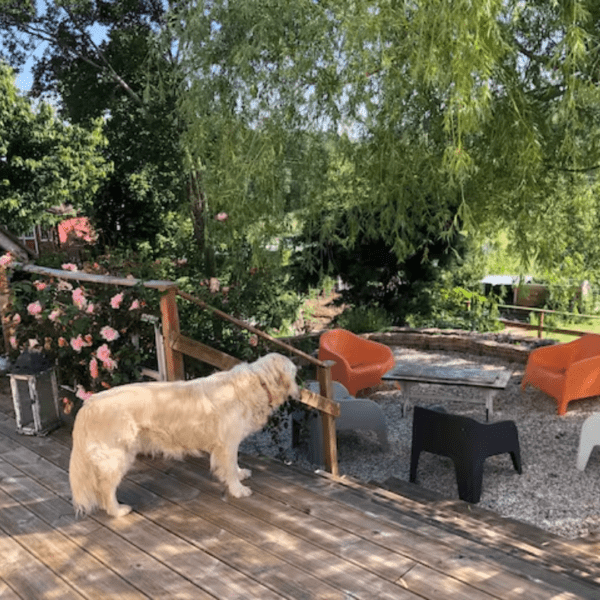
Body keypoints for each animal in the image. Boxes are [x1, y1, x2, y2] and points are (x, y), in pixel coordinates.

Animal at [68, 354, 300, 516]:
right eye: (296, 375)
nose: (301, 392)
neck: (258, 382)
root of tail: (88, 405)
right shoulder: (227, 443)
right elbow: (229, 469)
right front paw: (238, 490)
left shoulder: (229, 443)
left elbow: (234, 464)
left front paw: (241, 473)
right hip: (117, 456)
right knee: (106, 489)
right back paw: (118, 511)